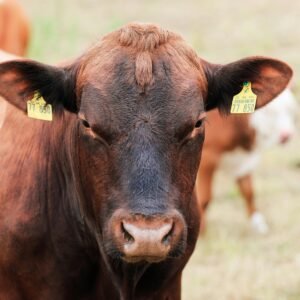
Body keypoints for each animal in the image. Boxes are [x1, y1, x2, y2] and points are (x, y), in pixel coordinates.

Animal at [195, 88, 298, 236]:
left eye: (290, 109)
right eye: (268, 111)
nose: (286, 135)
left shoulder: (243, 162)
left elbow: (248, 191)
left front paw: (258, 224)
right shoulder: (208, 157)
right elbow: (205, 197)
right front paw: (201, 231)